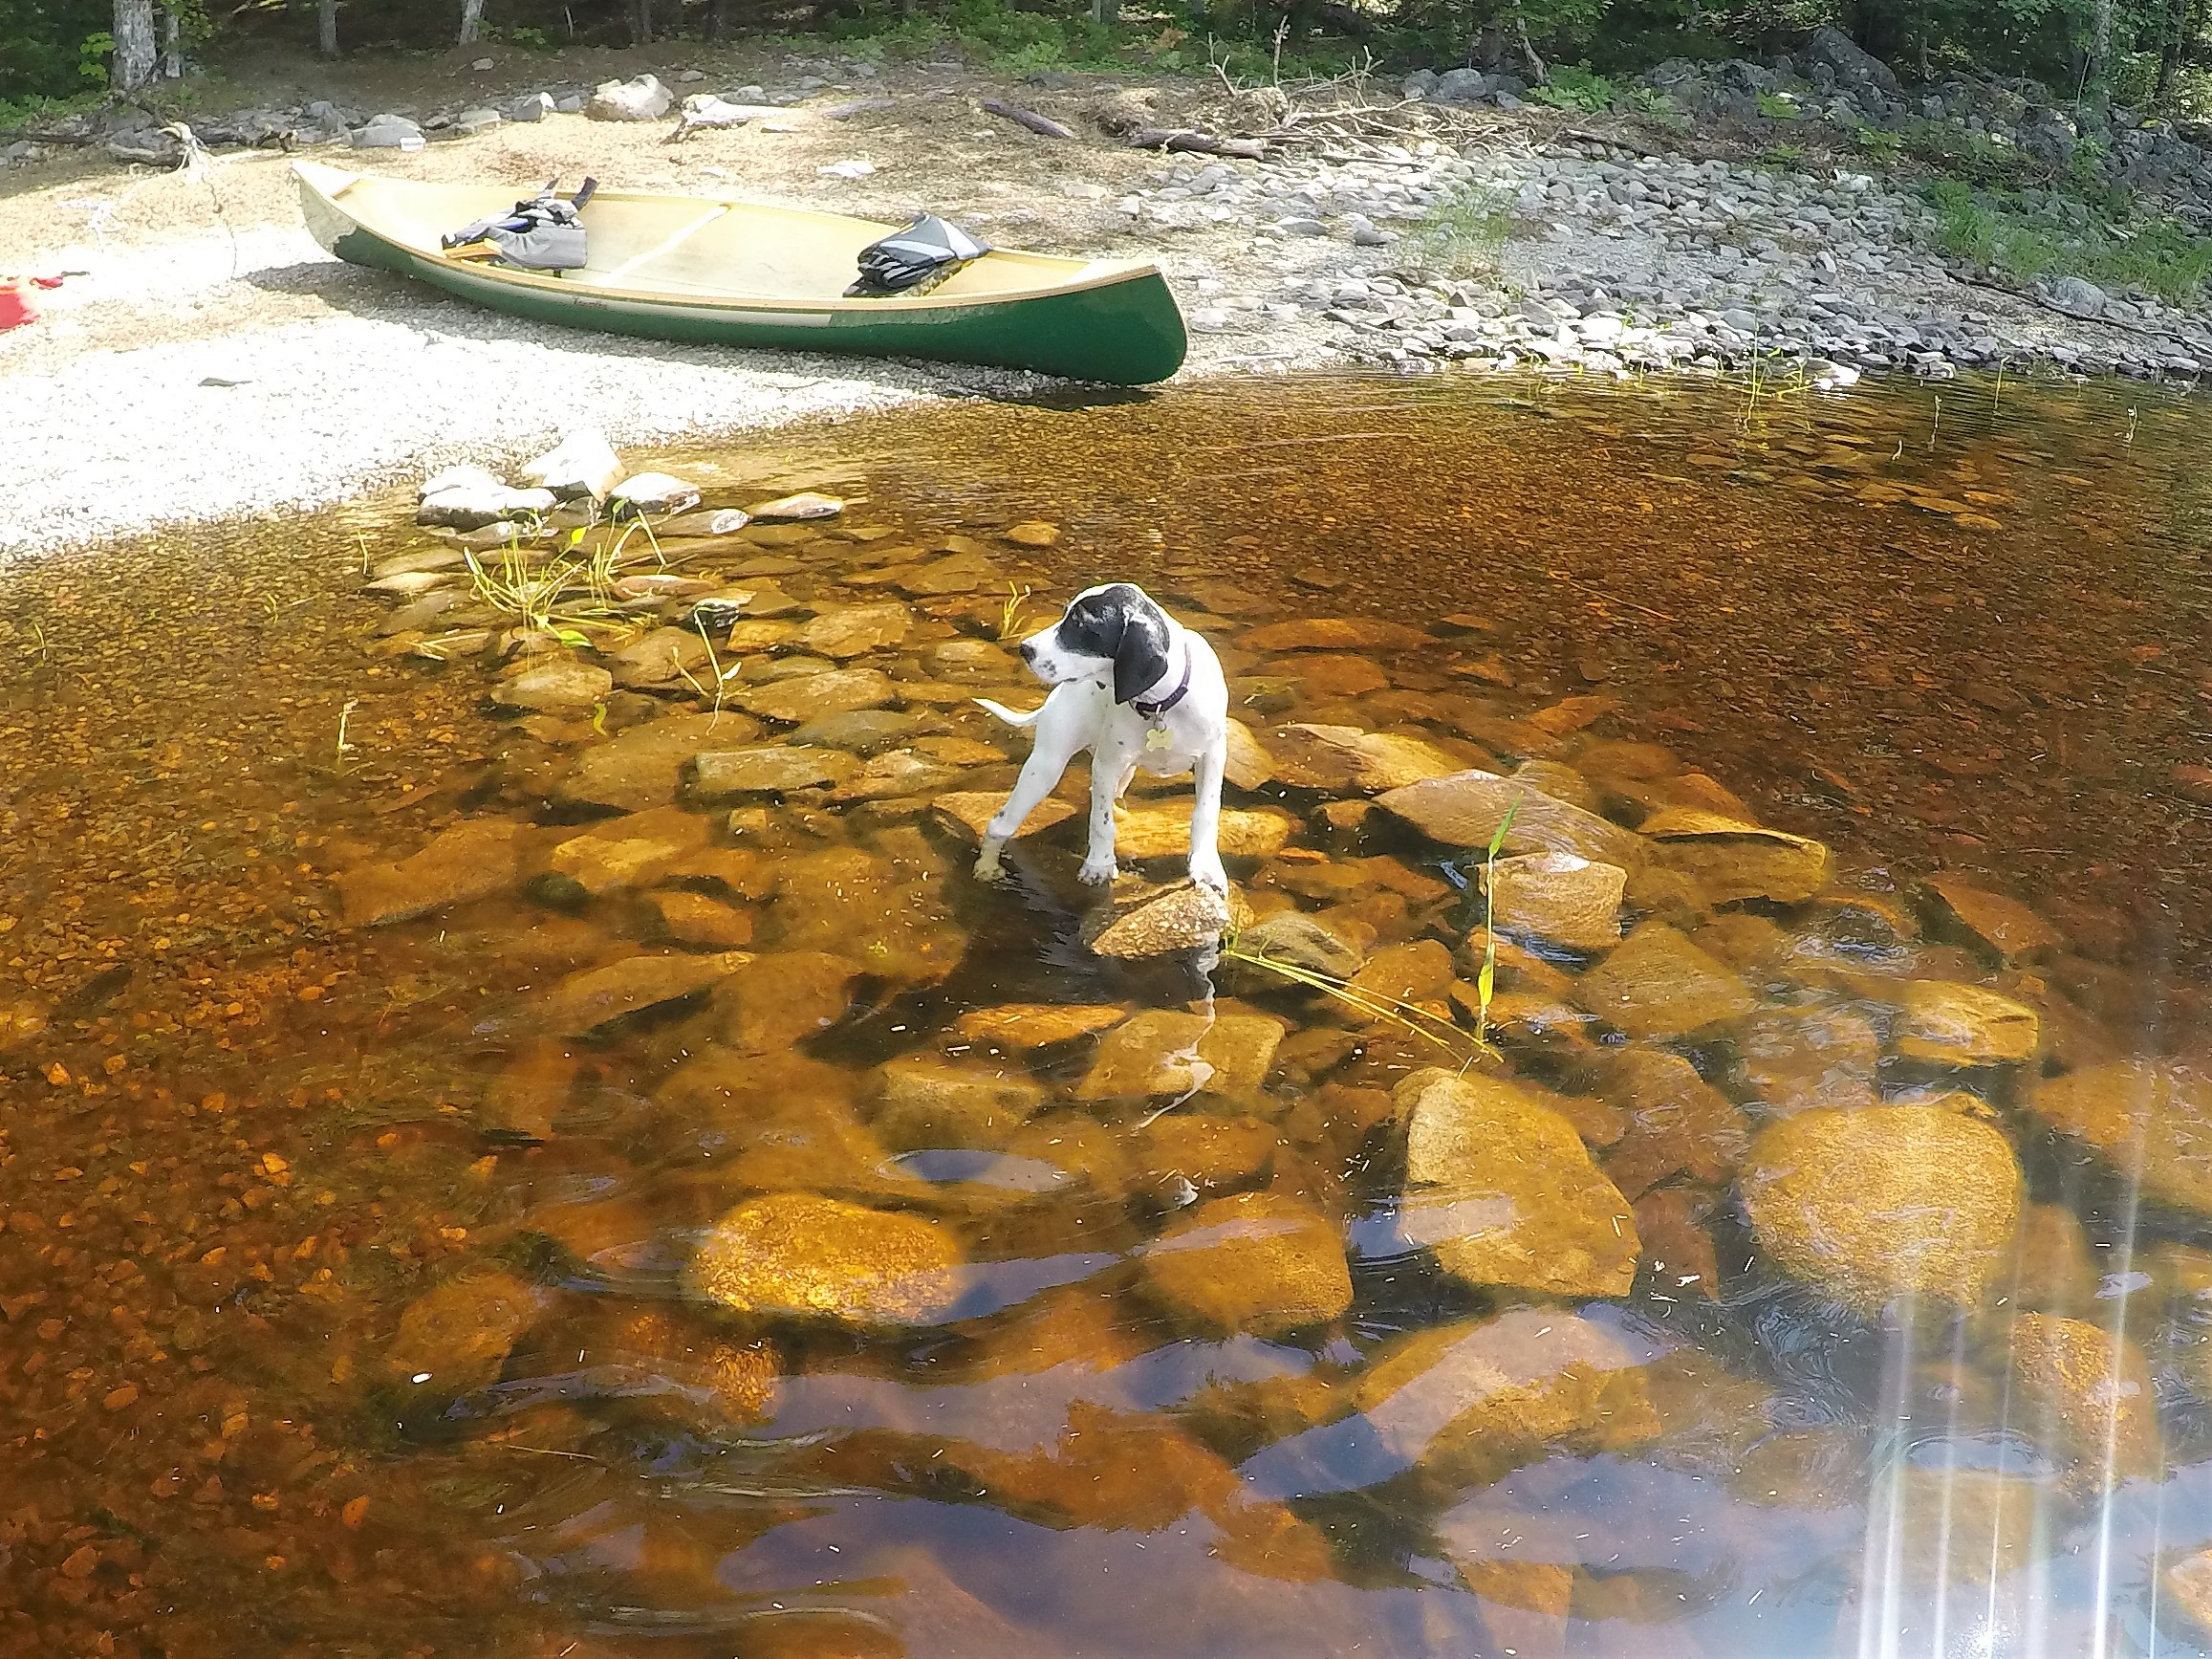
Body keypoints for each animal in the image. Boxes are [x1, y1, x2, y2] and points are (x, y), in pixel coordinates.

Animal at [977, 583, 1238, 898]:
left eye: (1080, 623)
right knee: (1000, 824)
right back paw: (987, 867)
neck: (1162, 705)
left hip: (1123, 773)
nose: (1025, 649)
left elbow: (1206, 813)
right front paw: (1099, 865)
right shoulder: (1106, 765)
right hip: (1045, 769)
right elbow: (1101, 822)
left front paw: (1206, 867)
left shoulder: (1212, 757)